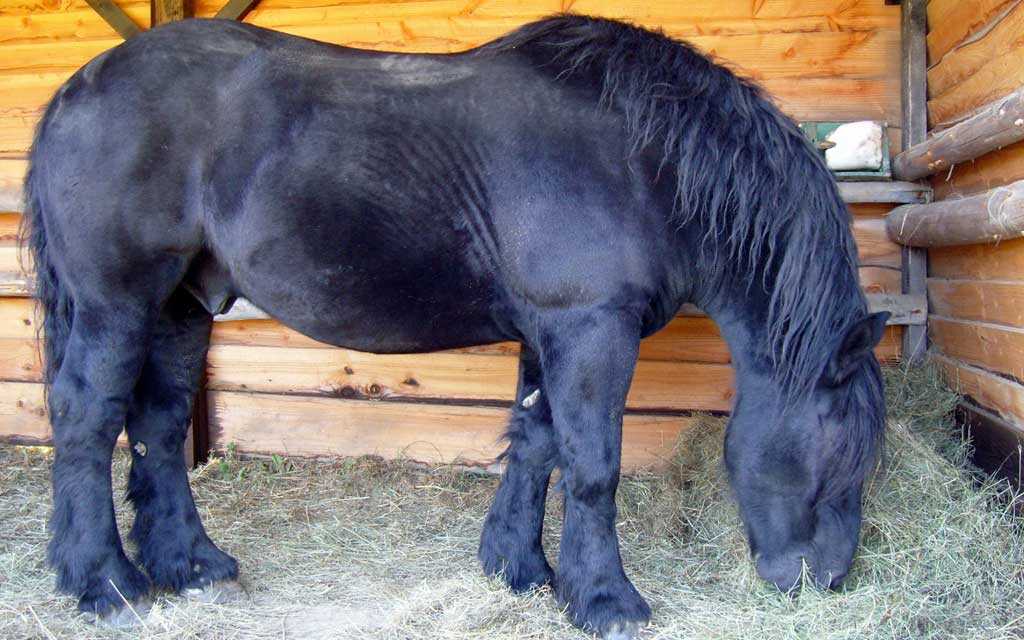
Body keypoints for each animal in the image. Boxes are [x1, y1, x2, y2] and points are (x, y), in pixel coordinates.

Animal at [21, 14, 888, 638]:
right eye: (839, 454)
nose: (827, 581)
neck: (641, 159)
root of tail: (77, 89)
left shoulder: (551, 333)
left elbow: (536, 443)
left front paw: (520, 569)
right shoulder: (590, 330)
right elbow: (593, 465)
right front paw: (606, 601)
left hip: (180, 307)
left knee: (159, 427)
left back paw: (190, 563)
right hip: (115, 305)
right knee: (88, 423)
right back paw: (106, 583)